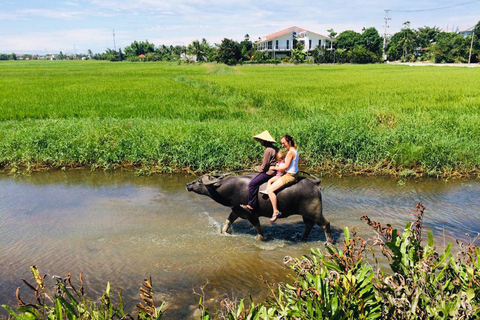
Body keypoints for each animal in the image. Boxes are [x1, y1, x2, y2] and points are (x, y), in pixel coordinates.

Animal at [185, 172, 334, 242]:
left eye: (199, 181)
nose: (188, 185)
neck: (231, 189)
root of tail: (314, 183)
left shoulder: (251, 214)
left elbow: (258, 230)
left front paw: (260, 239)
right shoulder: (236, 210)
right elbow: (227, 222)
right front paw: (223, 232)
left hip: (315, 212)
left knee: (325, 224)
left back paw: (330, 242)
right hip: (306, 214)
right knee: (308, 225)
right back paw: (301, 239)